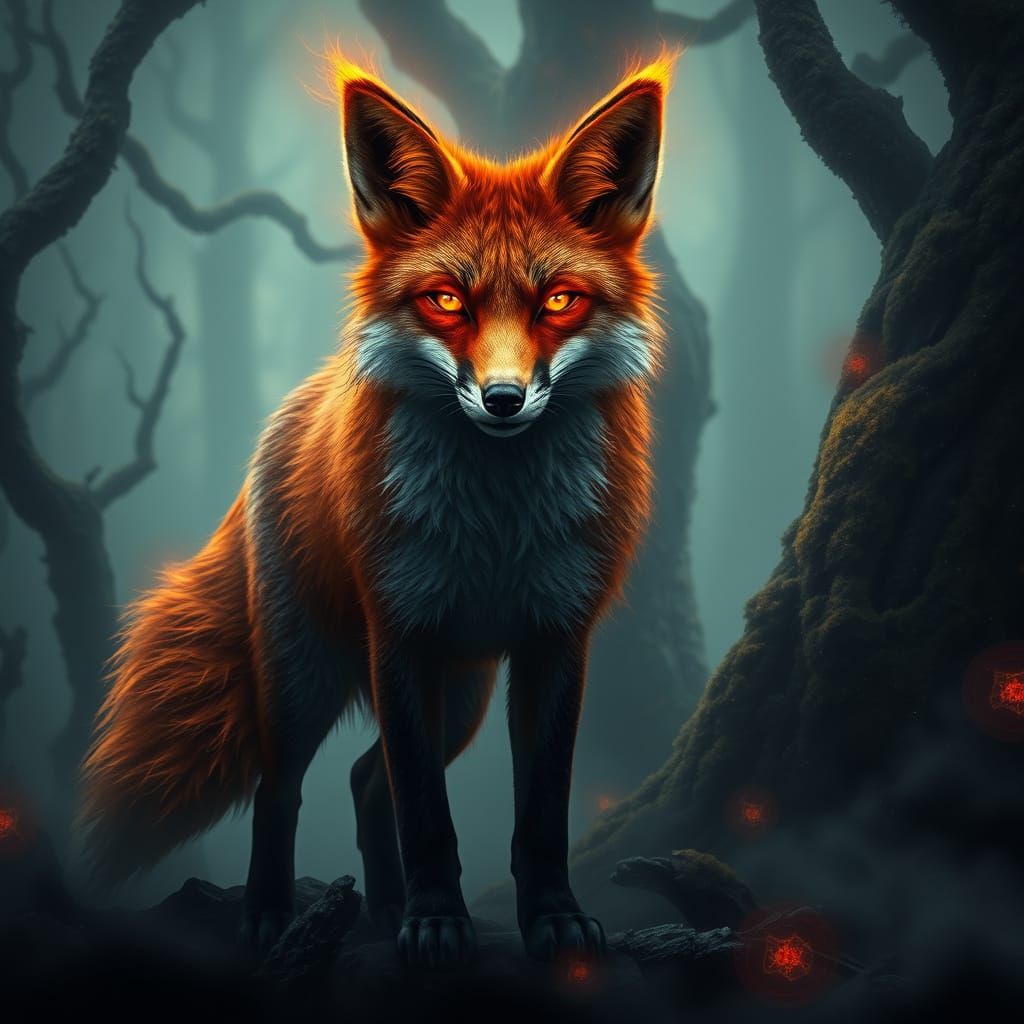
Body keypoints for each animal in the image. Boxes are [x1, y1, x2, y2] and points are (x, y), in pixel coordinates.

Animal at [78, 54, 669, 967]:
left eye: (559, 302)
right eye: (447, 302)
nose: (503, 400)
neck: (497, 524)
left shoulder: (557, 641)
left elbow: (538, 816)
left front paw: (550, 919)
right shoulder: (399, 633)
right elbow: (425, 812)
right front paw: (435, 921)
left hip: (462, 690)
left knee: (363, 782)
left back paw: (384, 910)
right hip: (307, 675)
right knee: (282, 786)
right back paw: (271, 915)